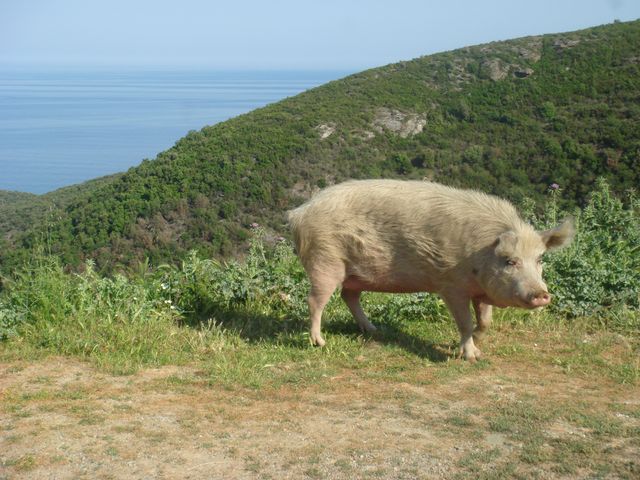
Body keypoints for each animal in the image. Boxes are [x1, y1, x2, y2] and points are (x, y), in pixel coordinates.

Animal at [288, 179, 572, 360]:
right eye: (510, 261)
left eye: (540, 259)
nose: (541, 294)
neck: (478, 255)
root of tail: (299, 212)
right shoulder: (451, 285)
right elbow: (465, 322)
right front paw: (471, 357)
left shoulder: (480, 290)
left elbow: (485, 321)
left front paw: (478, 346)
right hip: (325, 260)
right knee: (315, 300)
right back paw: (319, 342)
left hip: (354, 274)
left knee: (349, 296)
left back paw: (375, 331)